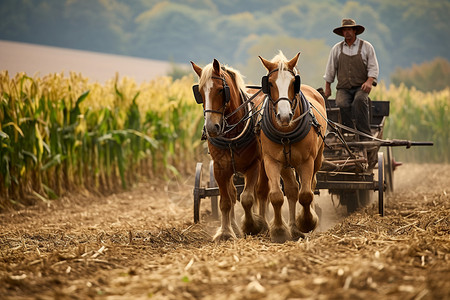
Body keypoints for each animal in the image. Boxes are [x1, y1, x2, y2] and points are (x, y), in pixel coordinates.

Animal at [190, 58, 268, 241]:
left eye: (220, 90)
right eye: (200, 92)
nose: (211, 128)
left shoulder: (254, 165)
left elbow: (247, 197)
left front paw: (252, 225)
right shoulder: (220, 167)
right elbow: (226, 200)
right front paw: (225, 232)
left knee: (262, 192)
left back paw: (264, 222)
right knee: (233, 194)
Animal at [256, 51, 326, 244]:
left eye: (294, 83)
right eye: (270, 83)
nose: (284, 116)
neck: (286, 132)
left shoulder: (306, 161)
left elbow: (306, 194)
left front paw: (307, 222)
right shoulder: (271, 161)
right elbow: (277, 195)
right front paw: (279, 230)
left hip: (318, 158)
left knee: (310, 185)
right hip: (286, 165)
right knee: (292, 190)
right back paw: (293, 228)